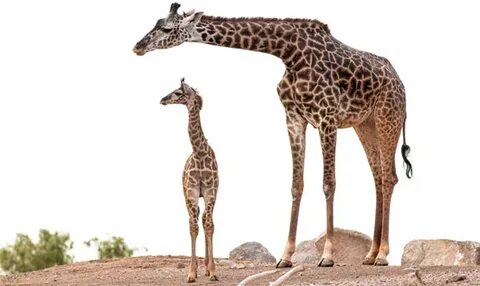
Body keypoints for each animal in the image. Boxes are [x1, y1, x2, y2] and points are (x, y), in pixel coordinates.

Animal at [162, 79, 220, 284]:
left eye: (178, 93)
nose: (162, 100)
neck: (199, 152)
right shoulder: (192, 193)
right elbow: (193, 227)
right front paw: (191, 273)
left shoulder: (211, 192)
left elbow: (208, 225)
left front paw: (213, 271)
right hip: (187, 197)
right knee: (194, 220)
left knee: (207, 221)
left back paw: (208, 267)